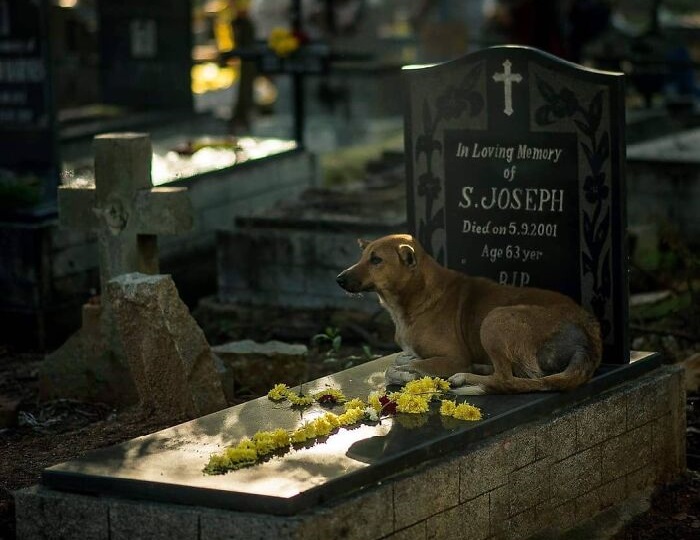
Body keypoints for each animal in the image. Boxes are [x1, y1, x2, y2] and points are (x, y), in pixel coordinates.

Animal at [334, 232, 600, 392]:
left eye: (376, 260)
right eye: (362, 257)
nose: (339, 279)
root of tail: (589, 336)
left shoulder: (454, 357)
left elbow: (397, 369)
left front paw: (405, 374)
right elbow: (405, 358)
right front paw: (408, 363)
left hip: (495, 319)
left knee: (506, 380)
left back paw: (466, 380)